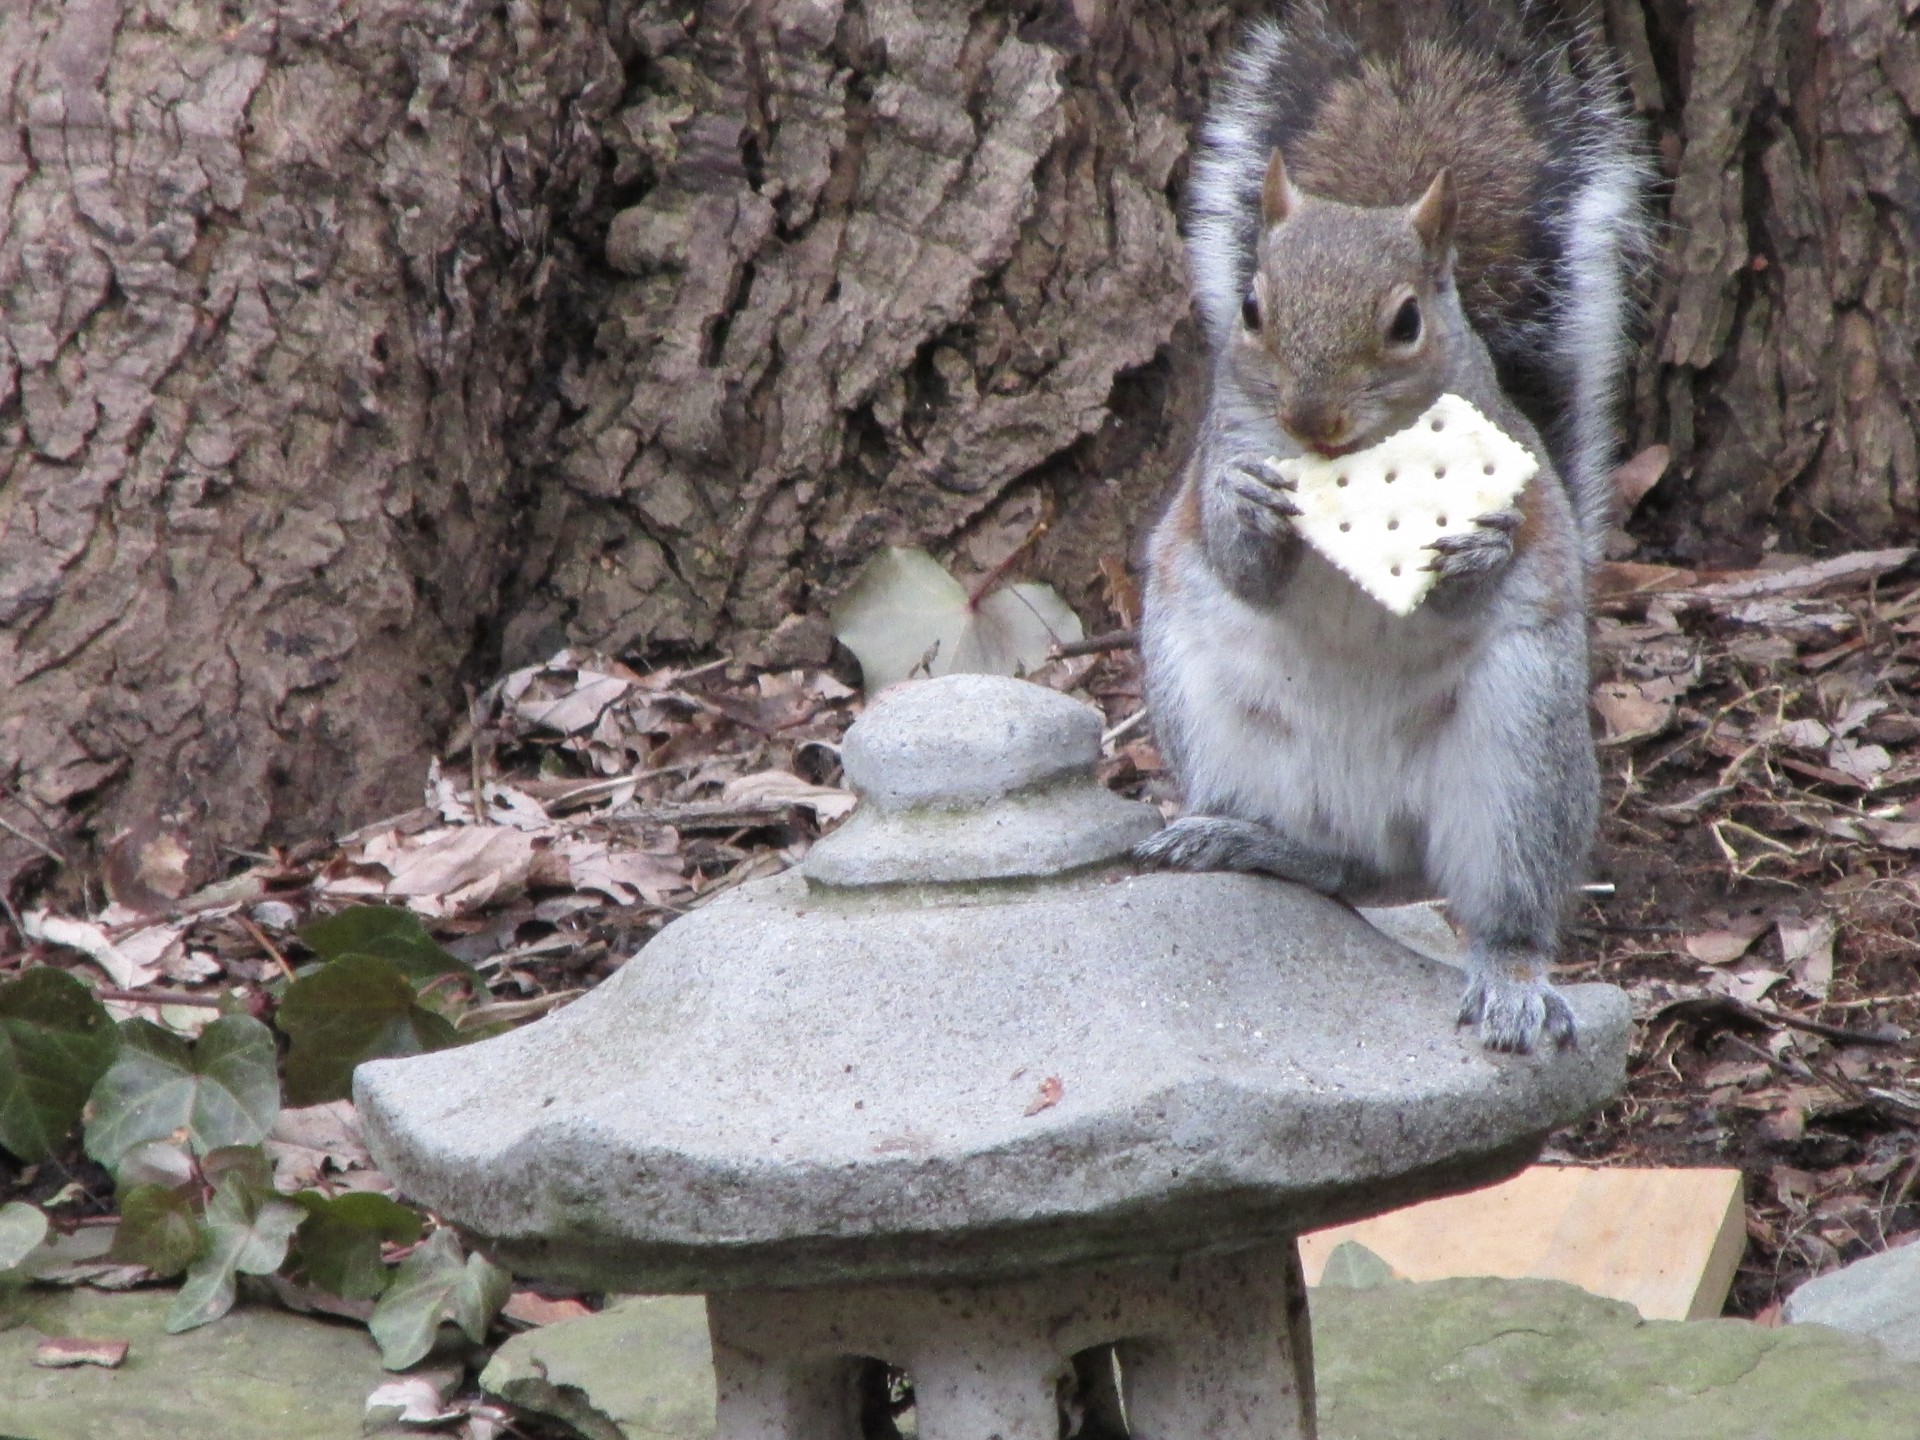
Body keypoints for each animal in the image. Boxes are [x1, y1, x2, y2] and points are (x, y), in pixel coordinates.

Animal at [1136, 5, 1651, 1052]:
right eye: (1251, 307)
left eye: (1407, 321)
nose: (1309, 419)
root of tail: (1377, 820)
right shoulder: (1212, 454)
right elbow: (1235, 558)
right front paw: (1250, 509)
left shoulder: (1518, 477)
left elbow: (1500, 551)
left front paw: (1476, 548)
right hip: (1214, 718)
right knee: (1342, 868)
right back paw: (1239, 837)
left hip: (1518, 757)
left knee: (1503, 903)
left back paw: (1511, 979)